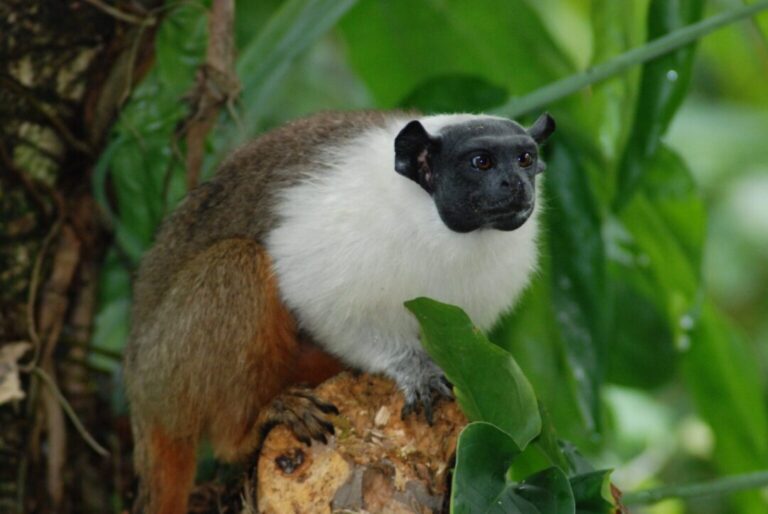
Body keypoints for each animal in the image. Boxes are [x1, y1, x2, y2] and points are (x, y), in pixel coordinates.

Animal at [123, 109, 555, 514]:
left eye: (525, 159)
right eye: (481, 162)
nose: (517, 184)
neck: (431, 220)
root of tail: (139, 390)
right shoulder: (350, 218)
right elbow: (315, 295)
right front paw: (411, 368)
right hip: (168, 367)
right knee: (237, 262)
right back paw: (248, 432)